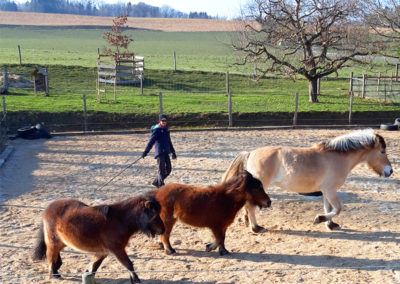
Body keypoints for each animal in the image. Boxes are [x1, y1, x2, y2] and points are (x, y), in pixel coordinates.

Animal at [31, 194, 166, 282]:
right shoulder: (117, 250)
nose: (163, 230)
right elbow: (128, 264)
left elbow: (94, 267)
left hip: (62, 242)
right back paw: (54, 274)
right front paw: (136, 280)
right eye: (154, 214)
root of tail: (49, 208)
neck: (119, 220)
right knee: (50, 256)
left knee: (55, 256)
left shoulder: (102, 252)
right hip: (52, 242)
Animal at [222, 130, 394, 232]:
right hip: (259, 188)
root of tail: (250, 153)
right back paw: (256, 228)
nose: (390, 171)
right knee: (251, 206)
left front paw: (330, 224)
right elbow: (337, 209)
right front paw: (319, 219)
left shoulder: (326, 191)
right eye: (382, 151)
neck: (338, 157)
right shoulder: (331, 190)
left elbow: (328, 208)